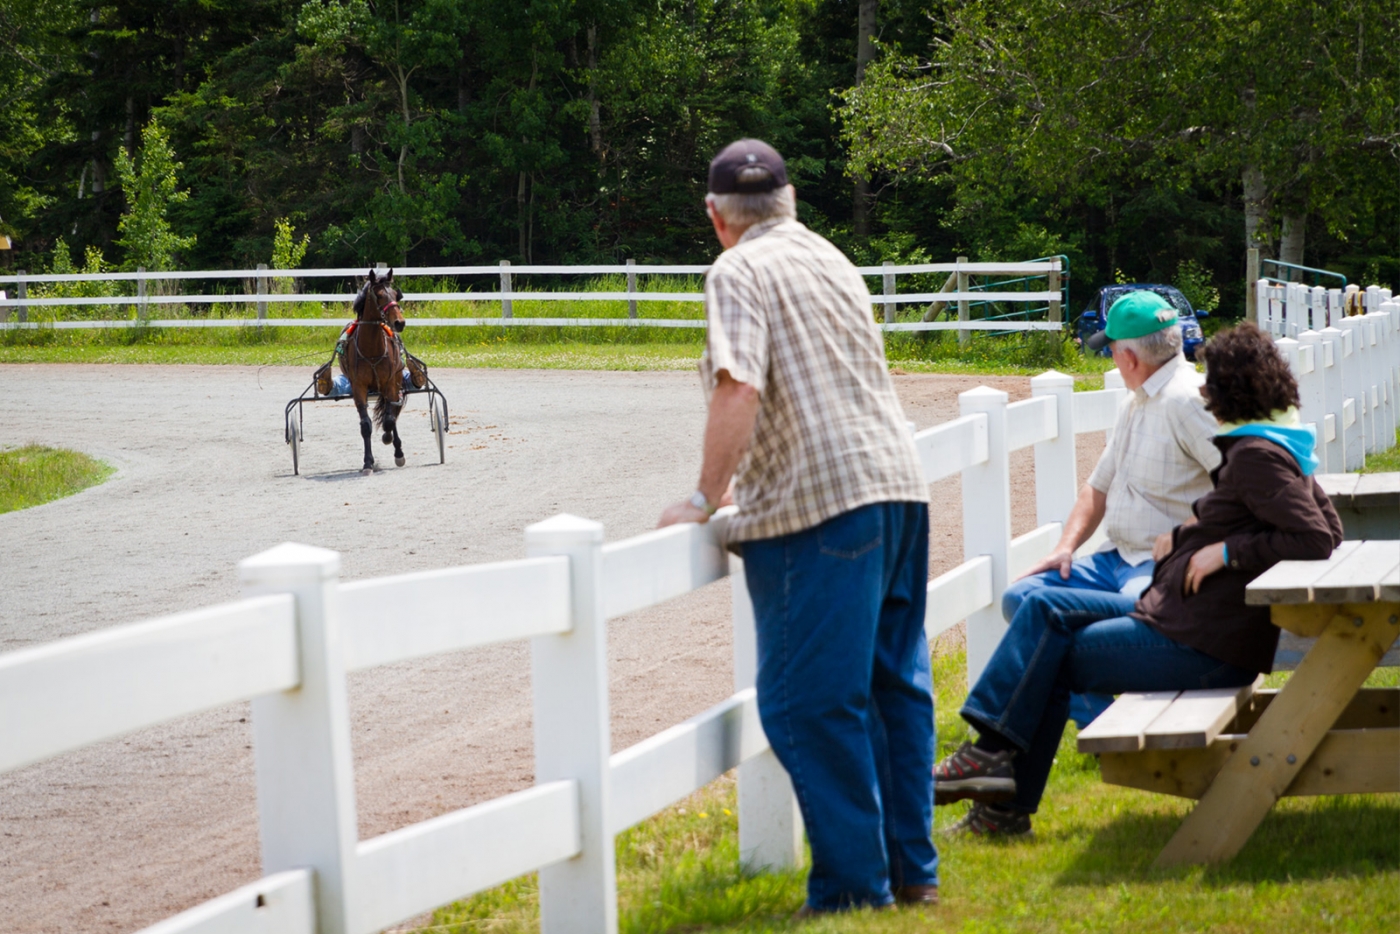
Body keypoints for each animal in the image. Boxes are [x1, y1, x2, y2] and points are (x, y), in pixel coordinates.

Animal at [341, 268, 408, 476]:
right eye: (379, 296)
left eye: (395, 294)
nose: (399, 322)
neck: (372, 350)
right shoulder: (359, 387)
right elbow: (366, 425)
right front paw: (368, 463)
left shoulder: (390, 383)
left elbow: (389, 419)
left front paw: (389, 439)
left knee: (392, 413)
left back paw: (398, 449)